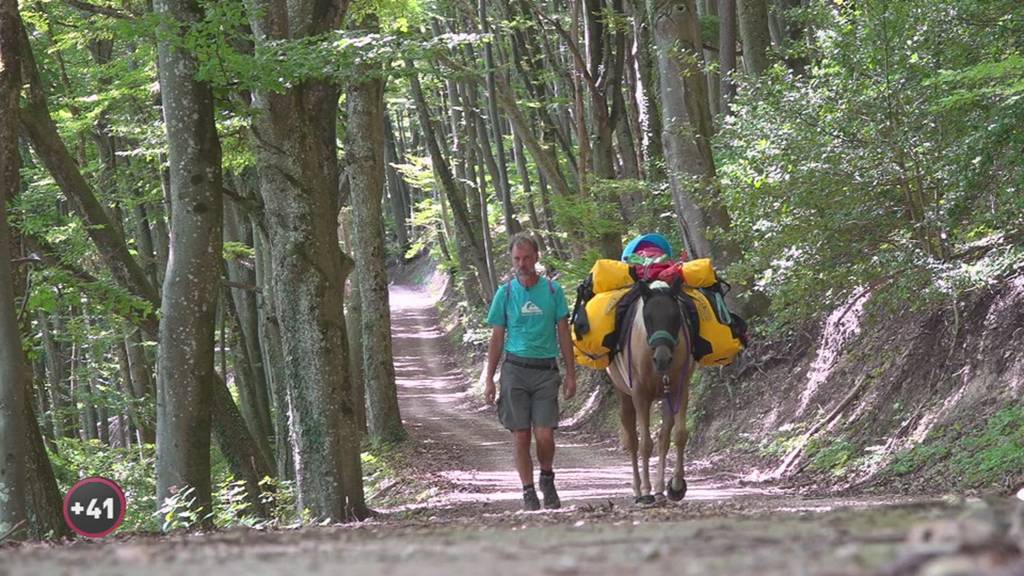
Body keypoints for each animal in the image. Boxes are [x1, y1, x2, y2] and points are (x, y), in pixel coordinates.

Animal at [606, 278, 696, 502]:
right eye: (647, 317)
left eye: (676, 316)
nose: (662, 359)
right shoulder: (640, 395)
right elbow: (645, 444)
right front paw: (646, 491)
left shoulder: (679, 390)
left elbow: (679, 435)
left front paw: (676, 486)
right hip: (624, 394)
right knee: (632, 440)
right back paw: (639, 489)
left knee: (663, 437)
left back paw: (659, 488)